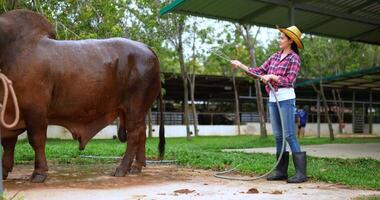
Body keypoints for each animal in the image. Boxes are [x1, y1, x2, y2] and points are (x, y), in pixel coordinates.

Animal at [0, 9, 166, 182]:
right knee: (142, 133)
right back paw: (136, 167)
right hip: (133, 111)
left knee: (134, 135)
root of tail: (146, 47)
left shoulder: (34, 109)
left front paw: (39, 173)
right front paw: (4, 171)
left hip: (135, 107)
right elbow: (8, 142)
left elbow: (36, 140)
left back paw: (122, 168)